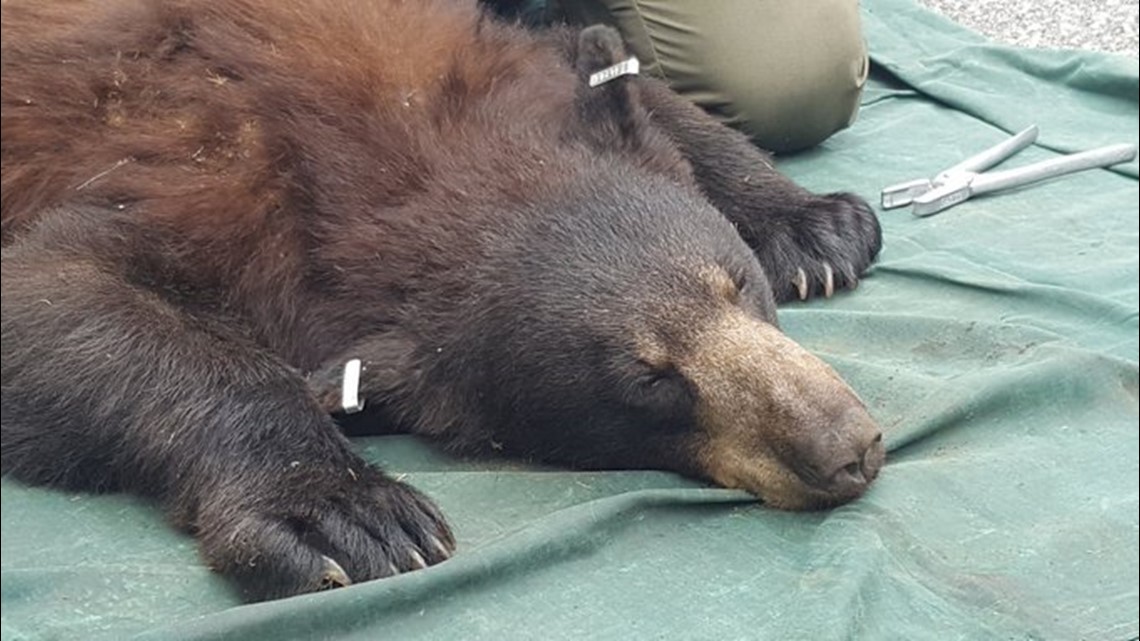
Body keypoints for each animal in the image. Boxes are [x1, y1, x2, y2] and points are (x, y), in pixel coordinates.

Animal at [0, 0, 884, 597]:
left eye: (736, 283)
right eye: (650, 380)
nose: (846, 444)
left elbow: (622, 78)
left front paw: (816, 227)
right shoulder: (191, 182)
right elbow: (51, 289)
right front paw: (346, 510)